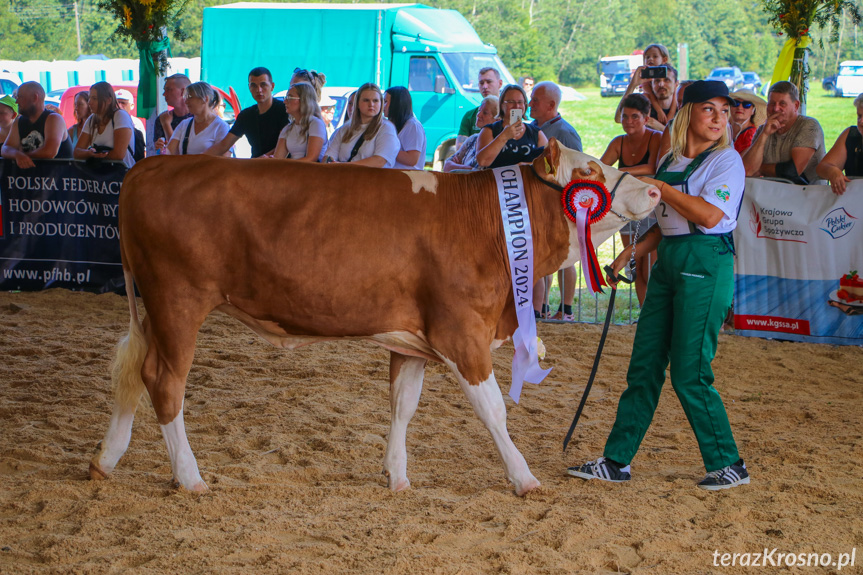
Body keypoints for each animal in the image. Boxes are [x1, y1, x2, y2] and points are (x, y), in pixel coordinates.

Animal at [89, 140, 660, 496]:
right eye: (589, 170)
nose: (655, 189)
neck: (488, 222)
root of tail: (152, 166)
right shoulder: (461, 332)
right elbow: (494, 411)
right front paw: (524, 479)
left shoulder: (414, 342)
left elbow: (403, 406)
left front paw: (397, 478)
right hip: (177, 301)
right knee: (163, 382)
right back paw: (190, 478)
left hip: (155, 309)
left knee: (133, 375)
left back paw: (106, 459)